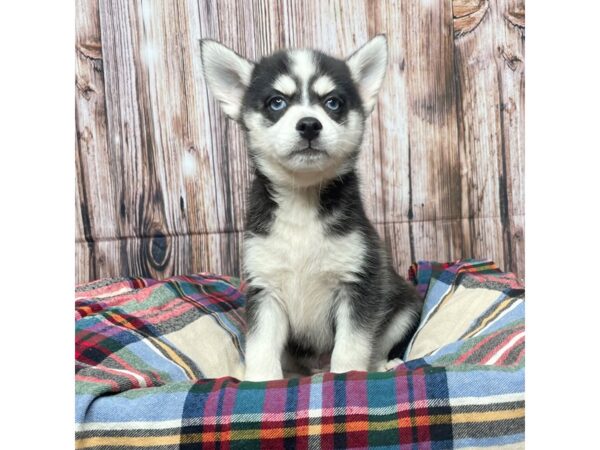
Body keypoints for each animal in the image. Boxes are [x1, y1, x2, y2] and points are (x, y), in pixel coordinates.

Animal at [200, 35, 422, 382]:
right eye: (277, 102)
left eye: (333, 103)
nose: (308, 125)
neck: (301, 203)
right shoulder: (265, 290)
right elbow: (261, 347)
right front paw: (259, 381)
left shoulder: (358, 283)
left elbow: (351, 347)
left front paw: (347, 376)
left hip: (404, 304)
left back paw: (382, 365)